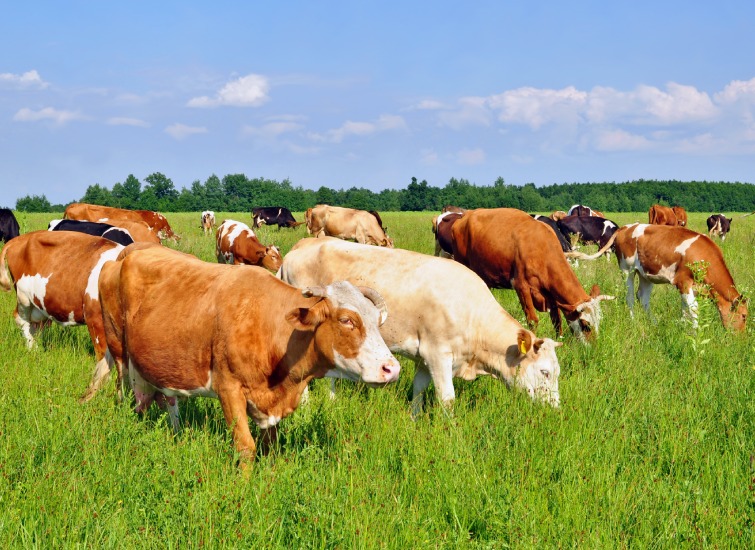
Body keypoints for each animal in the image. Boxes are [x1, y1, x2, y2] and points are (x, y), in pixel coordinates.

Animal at [0, 230, 123, 402]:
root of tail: (20, 238)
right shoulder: (95, 319)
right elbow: (104, 361)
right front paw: (93, 394)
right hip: (23, 297)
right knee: (21, 320)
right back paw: (32, 349)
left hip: (41, 305)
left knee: (37, 326)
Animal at [95, 244, 402, 464]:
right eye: (347, 320)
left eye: (376, 320)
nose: (392, 368)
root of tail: (125, 255)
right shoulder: (228, 388)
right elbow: (245, 447)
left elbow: (269, 446)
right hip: (119, 350)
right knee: (126, 395)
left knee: (165, 400)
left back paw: (177, 432)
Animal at [280, 237, 564, 414]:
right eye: (545, 372)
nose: (555, 408)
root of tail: (302, 245)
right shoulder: (437, 354)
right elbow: (447, 400)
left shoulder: (422, 358)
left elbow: (417, 391)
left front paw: (414, 419)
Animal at [448, 209, 616, 342]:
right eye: (586, 325)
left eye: (599, 322)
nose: (593, 347)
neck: (541, 248)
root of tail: (465, 216)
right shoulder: (521, 286)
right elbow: (532, 320)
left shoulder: (550, 293)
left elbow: (557, 319)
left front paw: (559, 341)